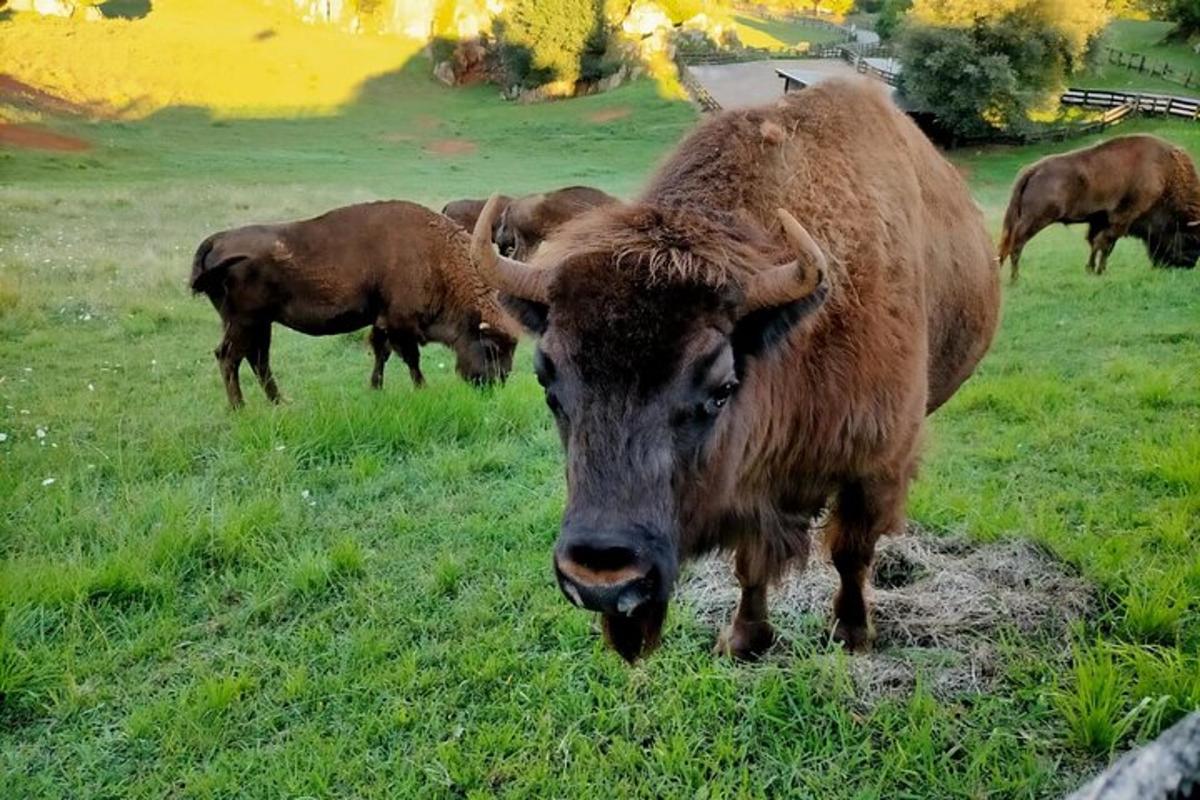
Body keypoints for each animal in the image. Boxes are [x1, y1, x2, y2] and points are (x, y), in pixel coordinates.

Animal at [189, 197, 518, 410]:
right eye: (491, 347)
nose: (495, 384)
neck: (434, 256)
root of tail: (217, 240)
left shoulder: (382, 321)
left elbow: (381, 353)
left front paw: (375, 388)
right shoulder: (400, 322)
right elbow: (411, 358)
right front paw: (422, 389)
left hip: (259, 324)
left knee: (258, 360)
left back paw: (280, 402)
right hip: (243, 322)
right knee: (228, 357)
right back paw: (239, 408)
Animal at [468, 81, 1003, 666]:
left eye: (721, 389)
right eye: (549, 384)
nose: (603, 581)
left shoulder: (876, 464)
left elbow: (850, 553)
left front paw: (851, 634)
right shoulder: (750, 485)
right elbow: (751, 563)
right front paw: (744, 639)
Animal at [993, 131, 1200, 281]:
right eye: (1190, 239)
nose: (1188, 265)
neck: (1166, 176)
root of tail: (1032, 170)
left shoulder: (1101, 220)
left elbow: (1096, 243)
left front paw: (1092, 270)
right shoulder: (1122, 219)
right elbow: (1105, 244)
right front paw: (1100, 271)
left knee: (1006, 245)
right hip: (1035, 219)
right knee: (1016, 245)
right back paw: (1015, 279)